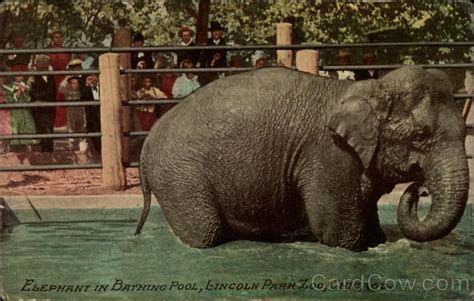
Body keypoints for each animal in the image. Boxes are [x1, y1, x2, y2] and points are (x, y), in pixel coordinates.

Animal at [133, 65, 466, 251]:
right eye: (421, 136)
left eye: (465, 131)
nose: (420, 188)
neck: (370, 87)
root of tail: (148, 142)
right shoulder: (329, 155)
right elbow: (338, 233)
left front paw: (378, 240)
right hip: (180, 177)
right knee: (206, 231)